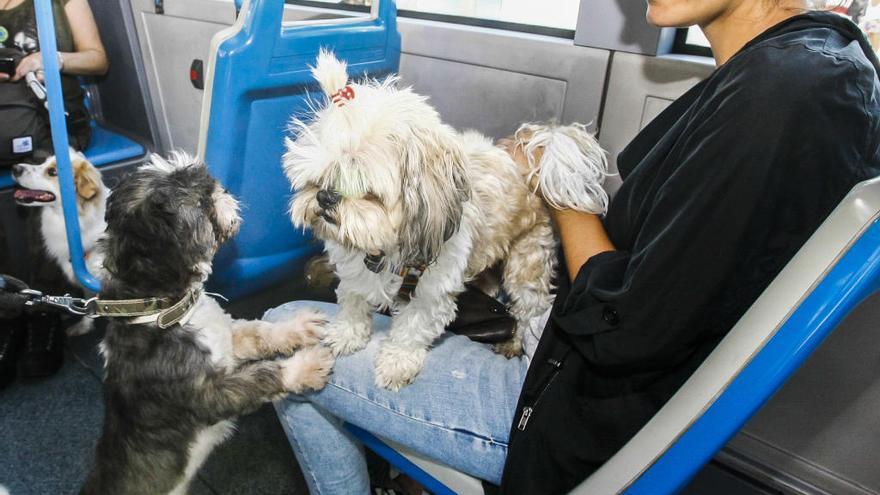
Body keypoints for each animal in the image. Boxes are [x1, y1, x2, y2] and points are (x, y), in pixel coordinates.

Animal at [82, 155, 334, 495]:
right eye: (201, 201)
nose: (222, 188)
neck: (164, 311)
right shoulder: (209, 395)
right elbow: (262, 377)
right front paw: (306, 365)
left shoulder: (227, 339)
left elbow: (260, 331)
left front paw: (298, 327)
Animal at [286, 51, 608, 392]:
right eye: (320, 177)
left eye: (362, 186)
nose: (325, 197)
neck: (384, 248)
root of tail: (535, 159)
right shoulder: (354, 274)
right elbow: (353, 303)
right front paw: (346, 334)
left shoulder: (431, 294)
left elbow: (412, 329)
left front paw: (397, 362)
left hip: (527, 263)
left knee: (527, 308)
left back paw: (513, 342)